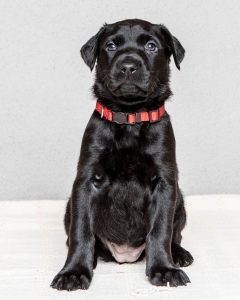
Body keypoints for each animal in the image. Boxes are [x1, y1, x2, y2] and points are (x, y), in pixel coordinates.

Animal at [50, 18, 193, 290]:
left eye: (151, 46)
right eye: (111, 45)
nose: (128, 66)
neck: (130, 118)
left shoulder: (165, 184)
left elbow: (160, 230)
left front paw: (164, 269)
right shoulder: (86, 183)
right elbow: (81, 231)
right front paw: (74, 271)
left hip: (179, 200)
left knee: (175, 234)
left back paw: (179, 254)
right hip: (69, 206)